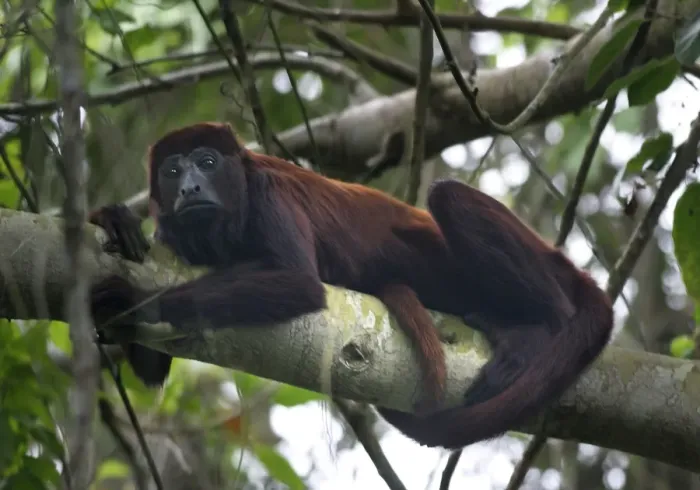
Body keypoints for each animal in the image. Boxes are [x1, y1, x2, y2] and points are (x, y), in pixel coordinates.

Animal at [89, 122, 613, 450]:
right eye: (172, 171)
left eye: (207, 162)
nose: (189, 188)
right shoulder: (168, 242)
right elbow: (151, 367)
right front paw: (115, 220)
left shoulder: (271, 196)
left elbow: (299, 284)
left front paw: (132, 301)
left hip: (542, 266)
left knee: (451, 197)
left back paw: (537, 329)